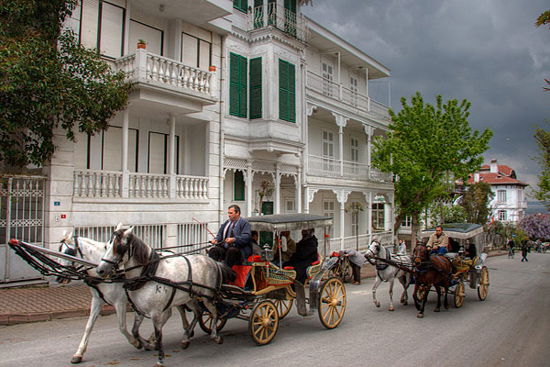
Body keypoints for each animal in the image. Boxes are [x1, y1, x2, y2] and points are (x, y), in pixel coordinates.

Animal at [56, 231, 197, 364]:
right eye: (59, 250)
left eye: (69, 252)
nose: (58, 277)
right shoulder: (97, 301)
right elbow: (89, 326)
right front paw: (79, 353)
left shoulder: (120, 302)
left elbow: (122, 327)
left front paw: (137, 343)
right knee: (173, 311)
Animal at [96, 227, 230, 367]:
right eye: (106, 246)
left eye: (119, 247)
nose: (100, 270)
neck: (148, 275)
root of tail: (213, 261)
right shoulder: (139, 309)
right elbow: (134, 331)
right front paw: (147, 344)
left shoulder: (155, 312)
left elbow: (158, 334)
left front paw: (160, 358)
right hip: (190, 297)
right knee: (198, 312)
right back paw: (186, 339)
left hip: (208, 296)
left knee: (214, 312)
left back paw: (215, 336)